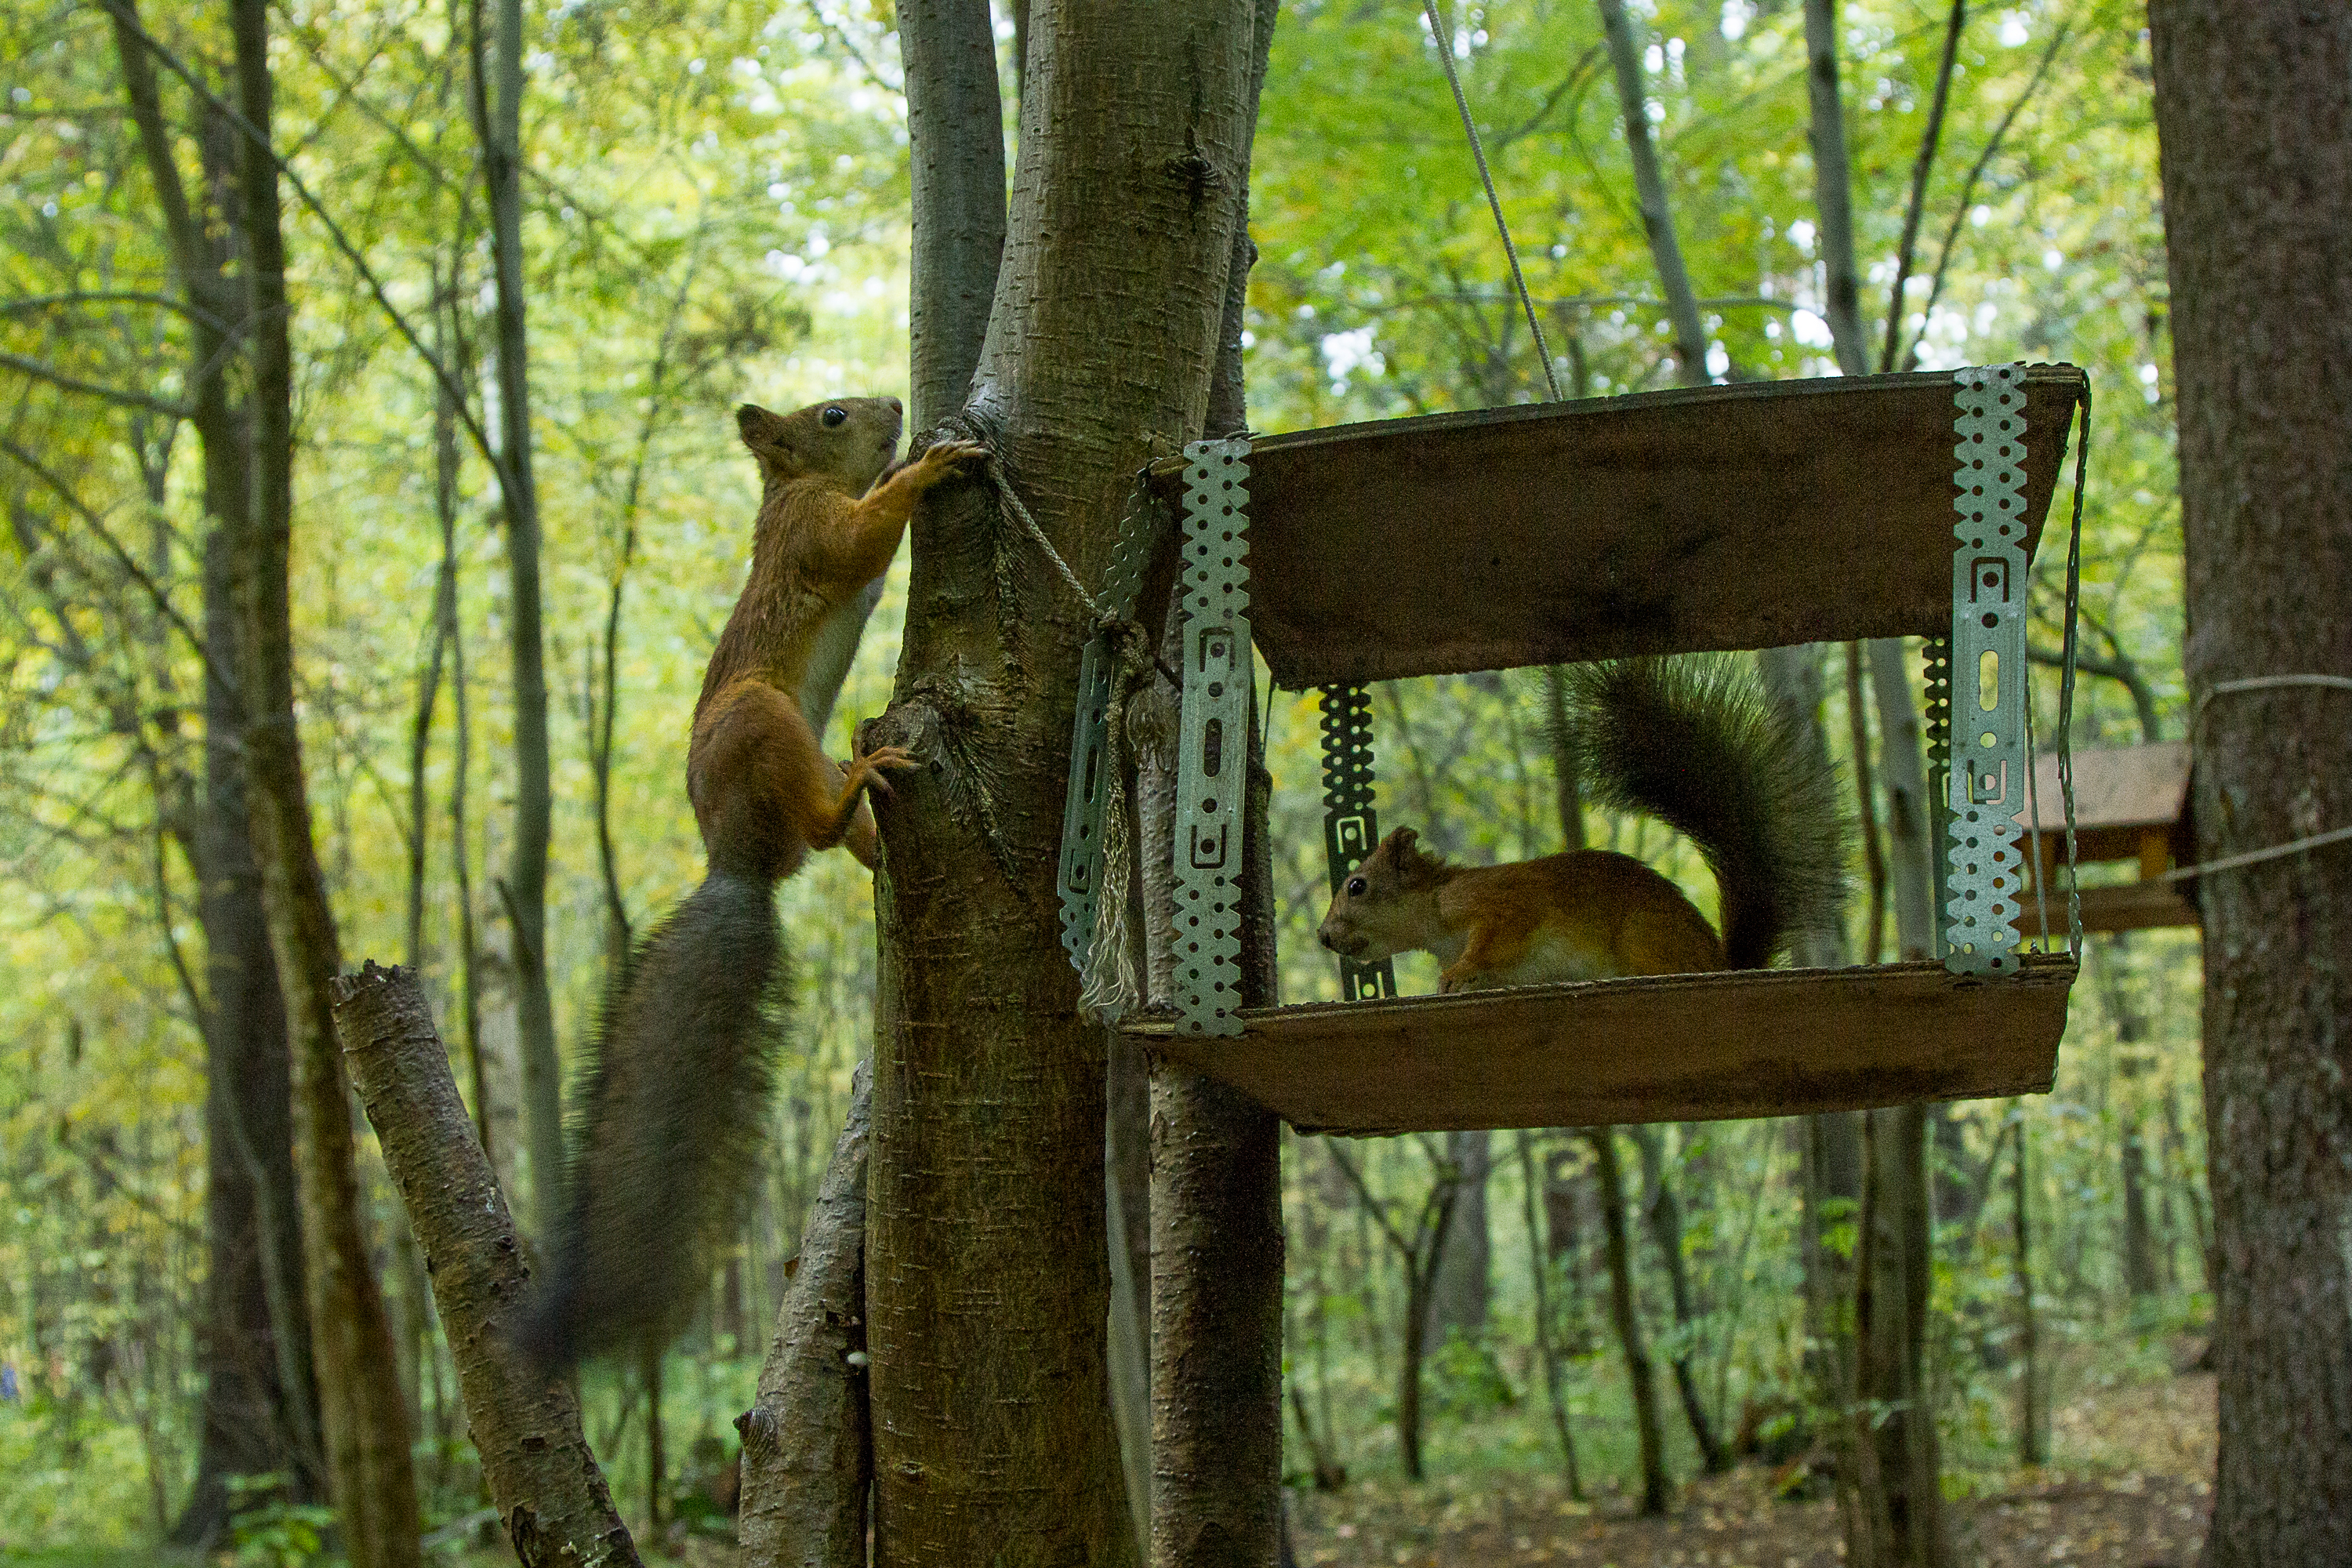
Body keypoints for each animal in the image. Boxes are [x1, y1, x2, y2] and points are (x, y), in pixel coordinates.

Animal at [515, 394, 983, 1373]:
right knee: (816, 826)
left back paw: (868, 821)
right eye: (833, 415)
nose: (892, 405)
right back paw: (859, 779)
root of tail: (733, 861)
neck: (793, 485)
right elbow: (857, 544)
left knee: (831, 838)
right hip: (762, 717)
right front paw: (922, 469)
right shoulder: (807, 533)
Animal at [1317, 658, 1844, 987]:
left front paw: (1456, 972)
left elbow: (1495, 937)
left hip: (1643, 939)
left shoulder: (1498, 905)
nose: (1323, 936)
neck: (1432, 910)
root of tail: (1719, 964)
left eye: (1357, 886)